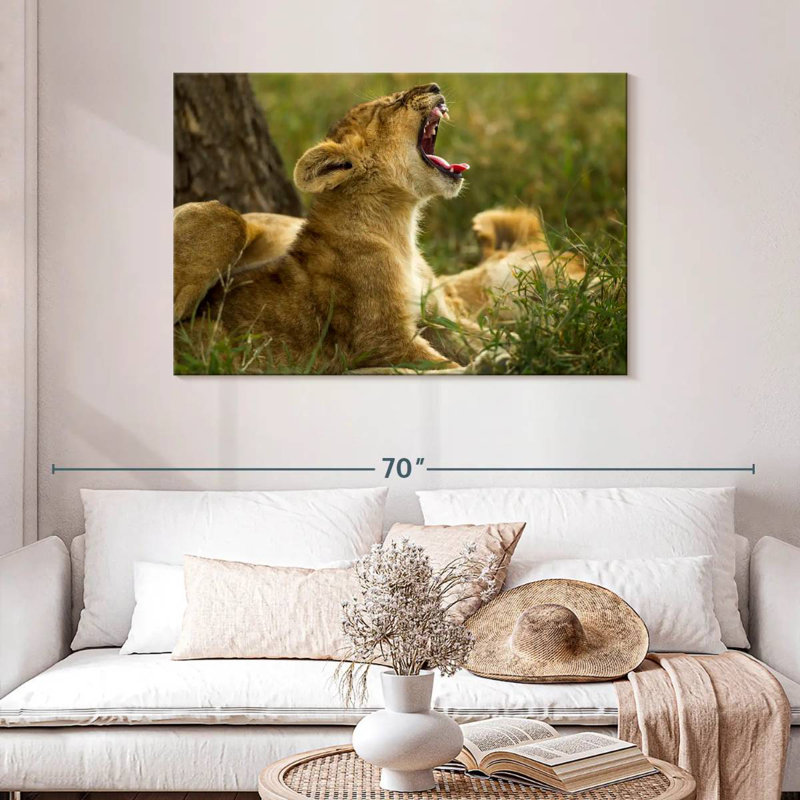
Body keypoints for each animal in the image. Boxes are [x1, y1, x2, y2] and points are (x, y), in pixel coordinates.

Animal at [173, 83, 585, 373]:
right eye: (394, 103)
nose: (435, 84)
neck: (400, 228)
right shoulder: (381, 339)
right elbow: (443, 366)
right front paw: (499, 361)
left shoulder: (438, 317)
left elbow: (491, 336)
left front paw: (548, 340)